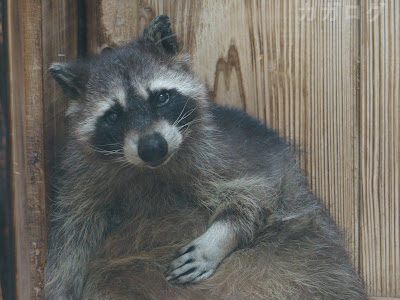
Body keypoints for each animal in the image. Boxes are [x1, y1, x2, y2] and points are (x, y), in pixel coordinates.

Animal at [44, 14, 368, 300]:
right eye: (113, 115)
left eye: (161, 97)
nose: (153, 148)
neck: (151, 170)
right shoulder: (80, 184)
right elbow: (67, 247)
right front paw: (60, 286)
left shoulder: (226, 156)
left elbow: (256, 196)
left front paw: (218, 239)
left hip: (302, 248)